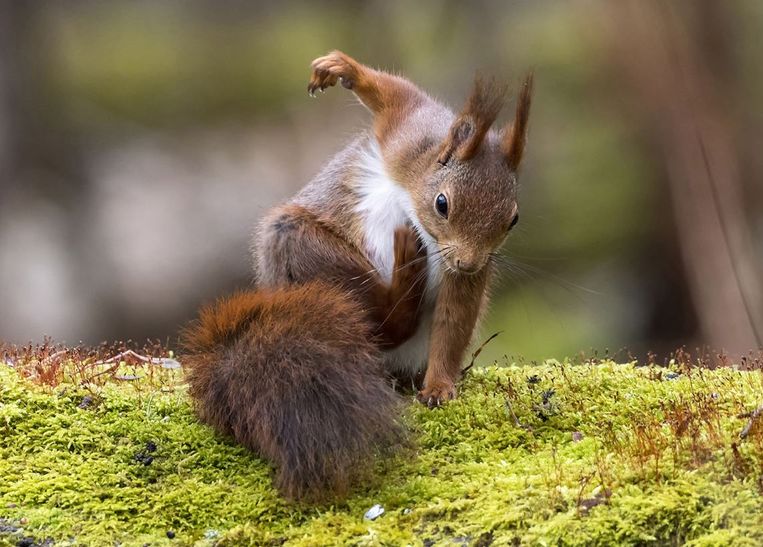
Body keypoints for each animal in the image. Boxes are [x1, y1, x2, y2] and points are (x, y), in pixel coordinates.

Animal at [182, 50, 536, 500]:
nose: (469, 263)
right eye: (442, 204)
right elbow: (394, 94)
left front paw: (439, 387)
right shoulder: (407, 133)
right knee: (382, 320)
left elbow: (453, 322)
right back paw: (404, 275)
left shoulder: (464, 275)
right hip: (300, 246)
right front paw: (341, 69)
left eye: (513, 219)